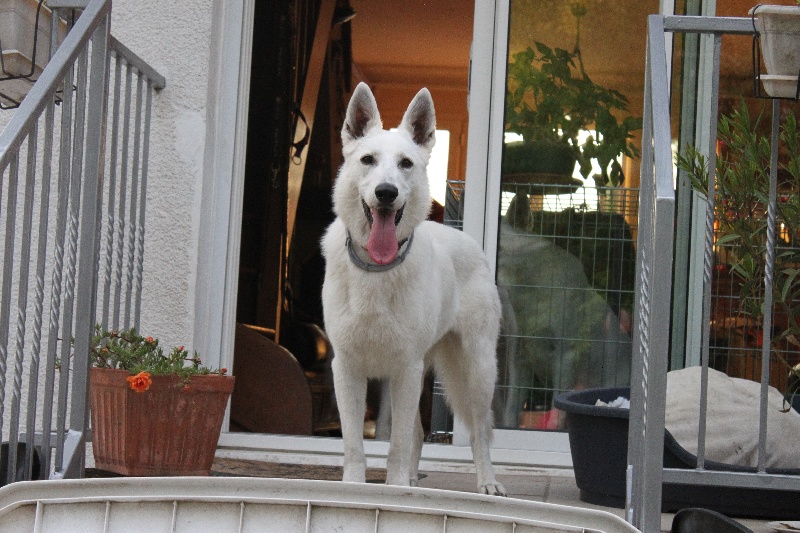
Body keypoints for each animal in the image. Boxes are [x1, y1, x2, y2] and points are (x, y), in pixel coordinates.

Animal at [320, 83, 504, 494]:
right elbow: (356, 445)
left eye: (406, 163)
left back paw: (486, 482)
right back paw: (414, 482)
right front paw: (355, 490)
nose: (386, 193)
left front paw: (393, 490)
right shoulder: (349, 369)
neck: (377, 269)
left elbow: (397, 445)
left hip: (476, 371)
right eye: (368, 160)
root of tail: (468, 241)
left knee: (479, 433)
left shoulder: (404, 368)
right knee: (420, 433)